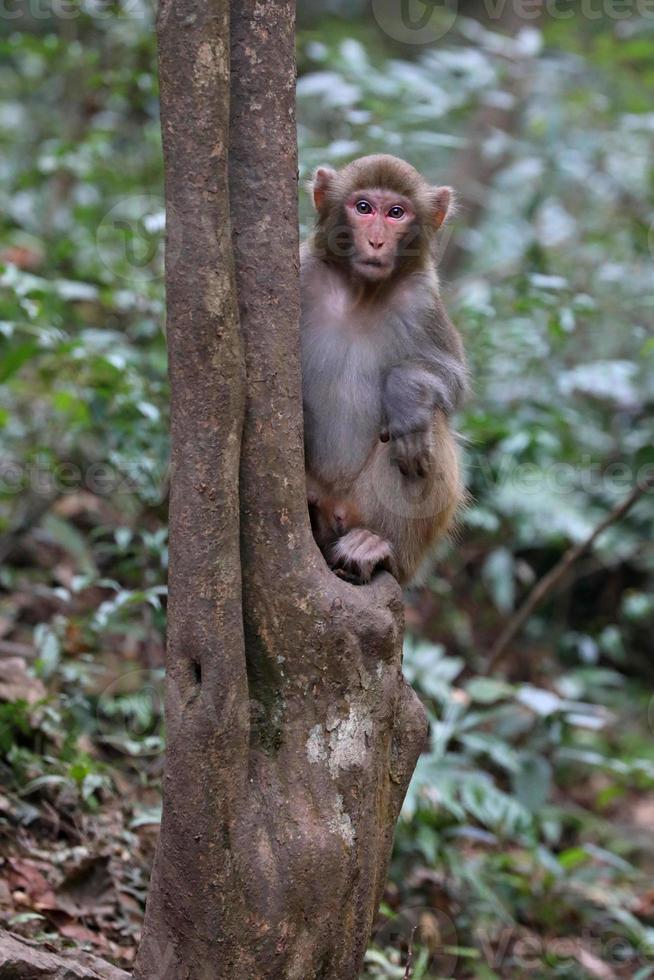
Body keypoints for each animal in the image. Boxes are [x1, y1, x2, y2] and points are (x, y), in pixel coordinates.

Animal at [300, 153, 468, 580]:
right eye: (363, 208)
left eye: (396, 213)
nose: (376, 241)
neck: (362, 293)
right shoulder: (304, 272)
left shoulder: (422, 300)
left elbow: (451, 380)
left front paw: (405, 396)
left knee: (429, 425)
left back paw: (377, 549)